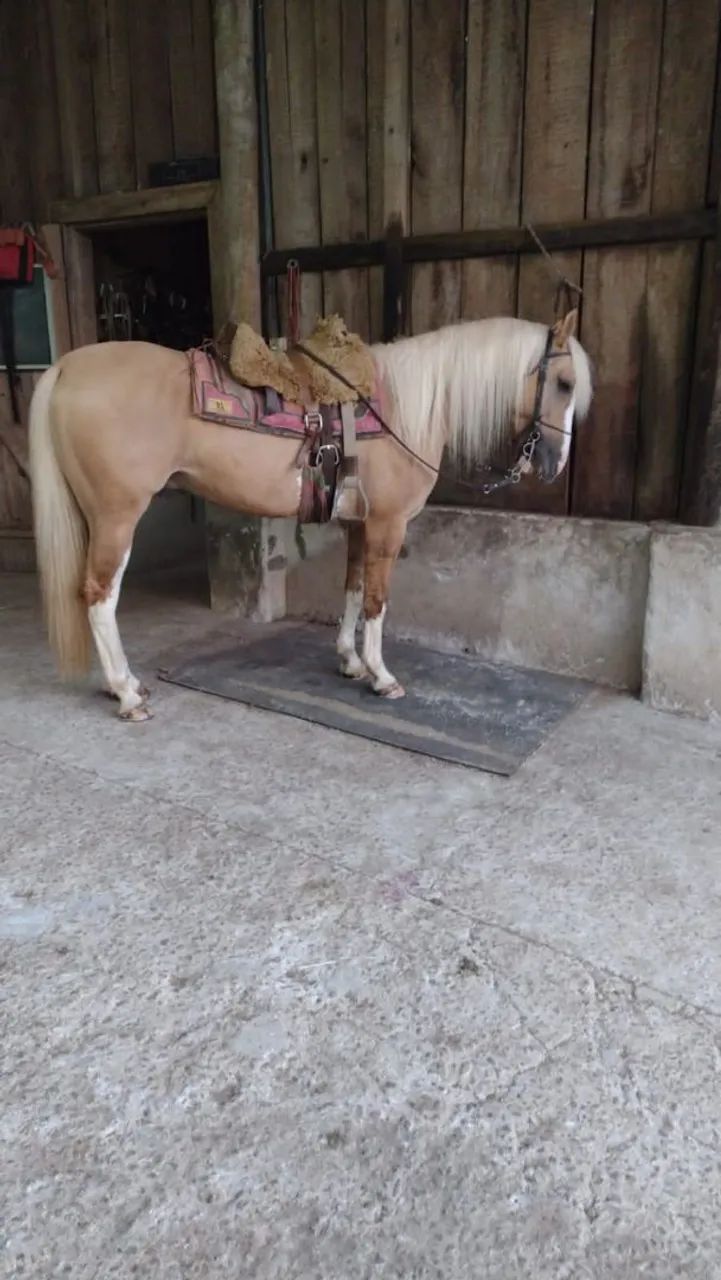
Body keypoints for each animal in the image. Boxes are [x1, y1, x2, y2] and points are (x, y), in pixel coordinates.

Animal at [28, 310, 592, 721]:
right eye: (564, 383)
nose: (555, 463)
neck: (404, 408)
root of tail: (66, 367)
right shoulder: (388, 526)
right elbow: (377, 600)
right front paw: (382, 676)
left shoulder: (360, 525)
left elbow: (353, 590)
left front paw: (350, 661)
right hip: (118, 517)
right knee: (100, 597)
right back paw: (126, 693)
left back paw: (120, 686)